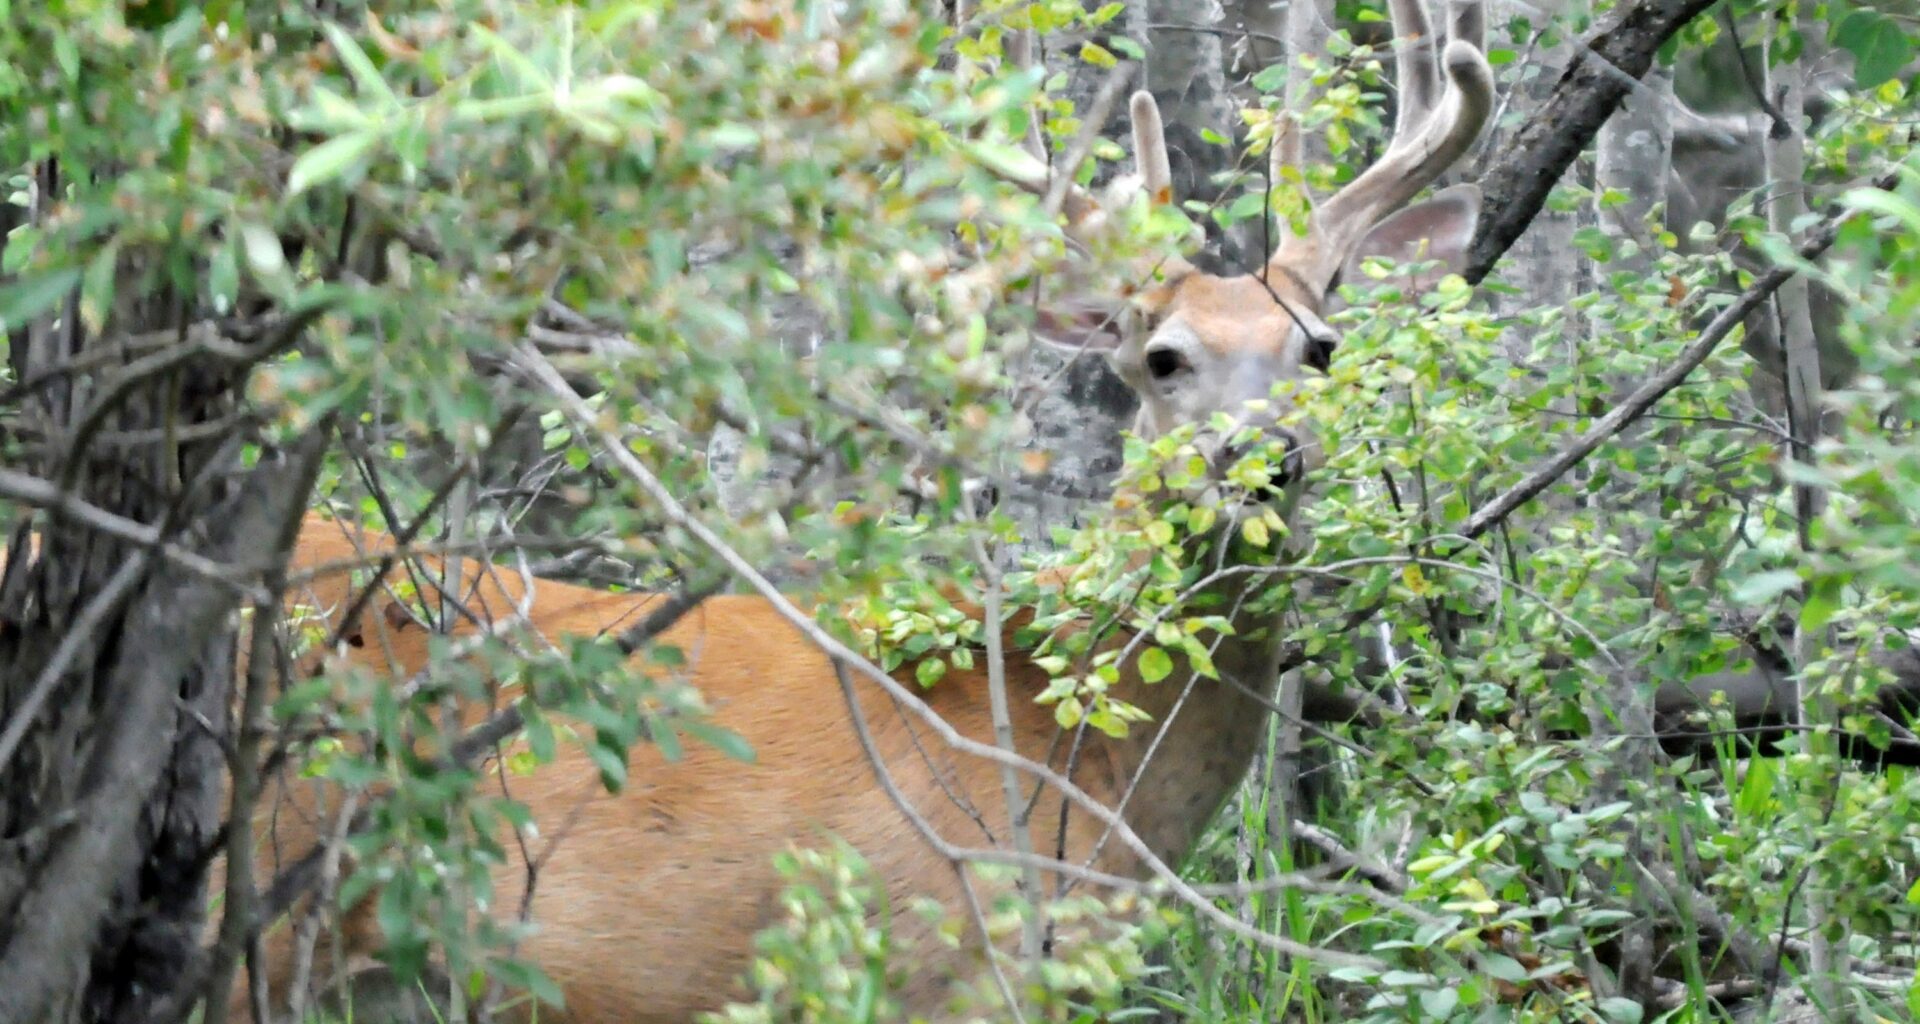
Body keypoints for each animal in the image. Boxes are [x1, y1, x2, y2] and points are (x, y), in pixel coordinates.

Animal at [221, 0, 1495, 1020]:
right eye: (1164, 357)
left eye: (1319, 348)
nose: (1262, 460)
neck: (1071, 744)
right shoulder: (944, 952)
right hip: (255, 915)